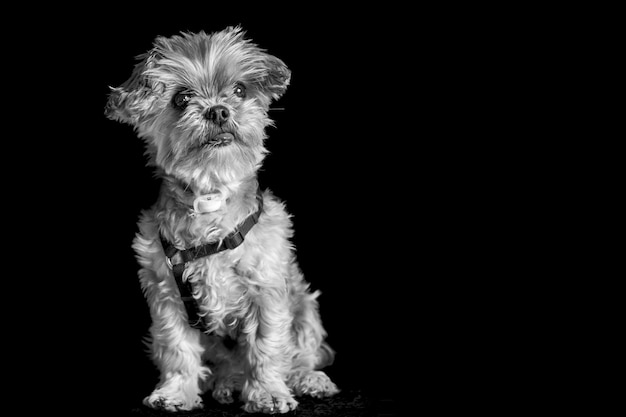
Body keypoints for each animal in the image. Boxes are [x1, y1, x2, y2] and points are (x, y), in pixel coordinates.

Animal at [104, 26, 336, 412]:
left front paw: (269, 393)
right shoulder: (167, 295)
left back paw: (308, 379)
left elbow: (267, 346)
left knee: (301, 353)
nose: (218, 111)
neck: (211, 192)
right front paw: (175, 393)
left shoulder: (267, 289)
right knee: (226, 364)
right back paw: (227, 383)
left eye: (240, 90)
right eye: (182, 98)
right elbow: (177, 348)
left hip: (305, 306)